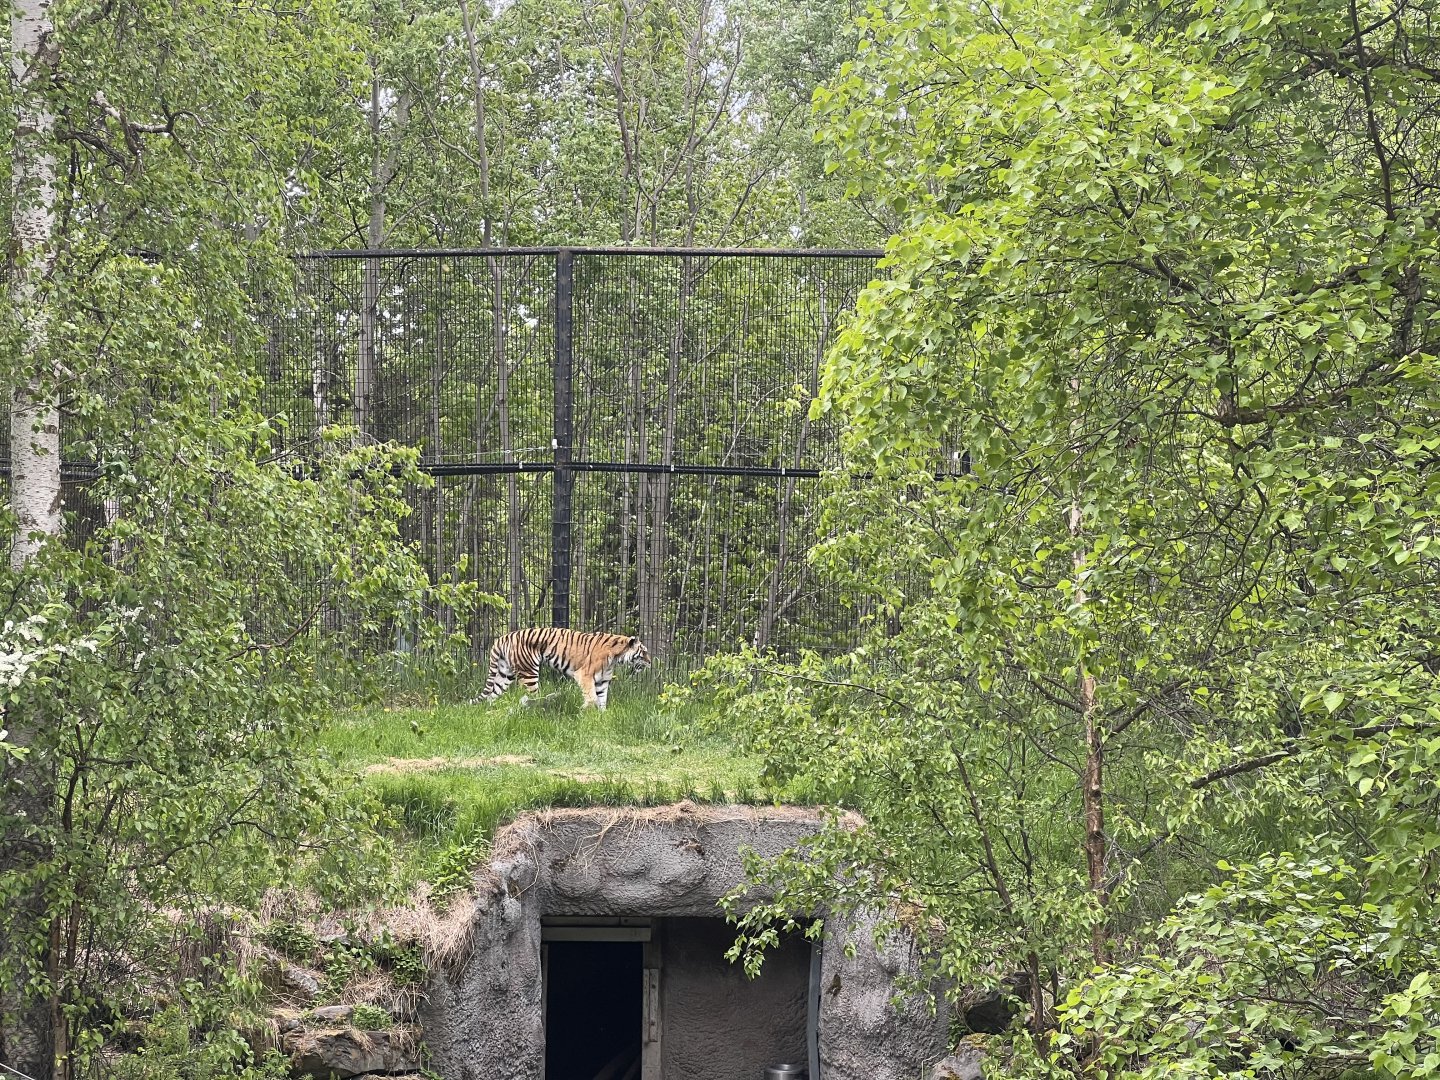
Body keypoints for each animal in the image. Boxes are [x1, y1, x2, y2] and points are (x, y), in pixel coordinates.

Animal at [479, 628, 652, 710]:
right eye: (643, 652)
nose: (651, 662)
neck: (616, 657)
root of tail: (502, 637)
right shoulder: (584, 675)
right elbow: (592, 698)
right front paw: (584, 710)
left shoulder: (602, 681)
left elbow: (602, 700)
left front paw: (601, 717)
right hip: (529, 672)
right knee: (532, 697)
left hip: (504, 674)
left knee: (491, 696)